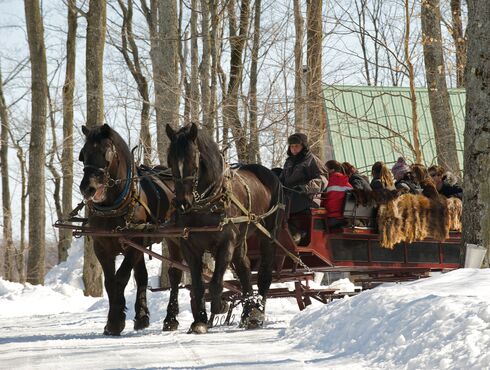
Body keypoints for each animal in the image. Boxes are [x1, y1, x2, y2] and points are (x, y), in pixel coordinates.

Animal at [79, 124, 183, 336]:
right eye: (83, 153)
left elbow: (121, 278)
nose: (87, 188)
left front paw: (116, 321)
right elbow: (110, 282)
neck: (114, 206)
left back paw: (170, 319)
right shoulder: (101, 246)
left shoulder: (135, 242)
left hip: (174, 237)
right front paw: (114, 321)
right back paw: (142, 316)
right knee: (143, 275)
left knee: (175, 273)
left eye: (106, 152)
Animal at [165, 123, 284, 334]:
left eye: (193, 160)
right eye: (170, 160)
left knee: (264, 273)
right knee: (244, 267)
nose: (182, 203)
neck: (207, 202)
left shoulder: (225, 242)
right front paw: (199, 321)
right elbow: (198, 286)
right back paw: (248, 312)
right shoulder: (189, 247)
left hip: (268, 234)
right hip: (242, 238)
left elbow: (215, 283)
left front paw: (220, 304)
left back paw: (258, 312)